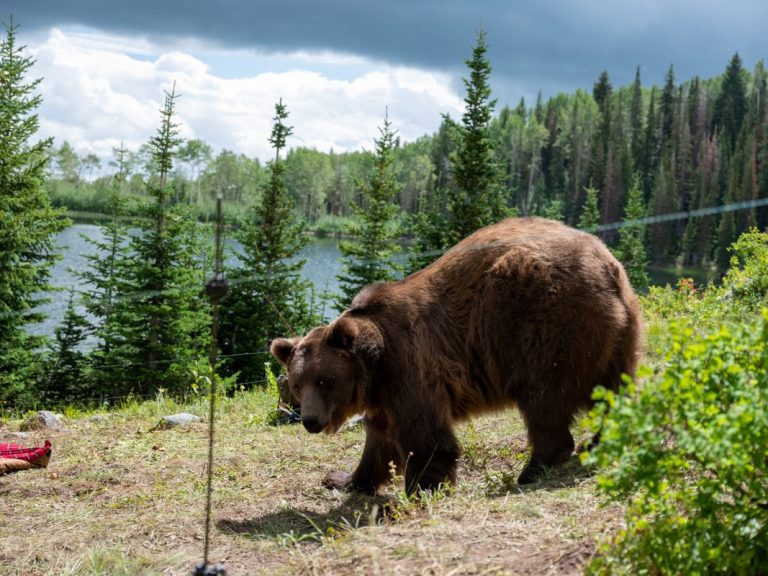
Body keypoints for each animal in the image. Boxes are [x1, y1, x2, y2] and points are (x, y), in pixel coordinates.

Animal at [271, 217, 642, 494]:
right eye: (297, 383)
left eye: (325, 380)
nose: (310, 420)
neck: (375, 369)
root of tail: (607, 264)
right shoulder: (383, 395)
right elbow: (378, 442)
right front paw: (345, 479)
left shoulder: (411, 367)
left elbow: (428, 440)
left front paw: (421, 489)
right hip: (617, 337)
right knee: (612, 391)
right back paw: (600, 442)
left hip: (546, 322)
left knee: (544, 398)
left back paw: (531, 470)